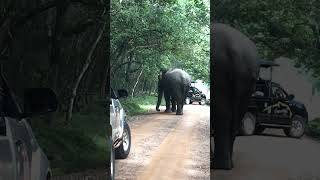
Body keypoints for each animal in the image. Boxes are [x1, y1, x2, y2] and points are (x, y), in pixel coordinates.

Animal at [210, 23, 260, 169]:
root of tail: (235, 50)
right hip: (248, 78)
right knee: (236, 116)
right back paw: (228, 164)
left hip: (218, 72)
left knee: (223, 113)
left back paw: (219, 165)